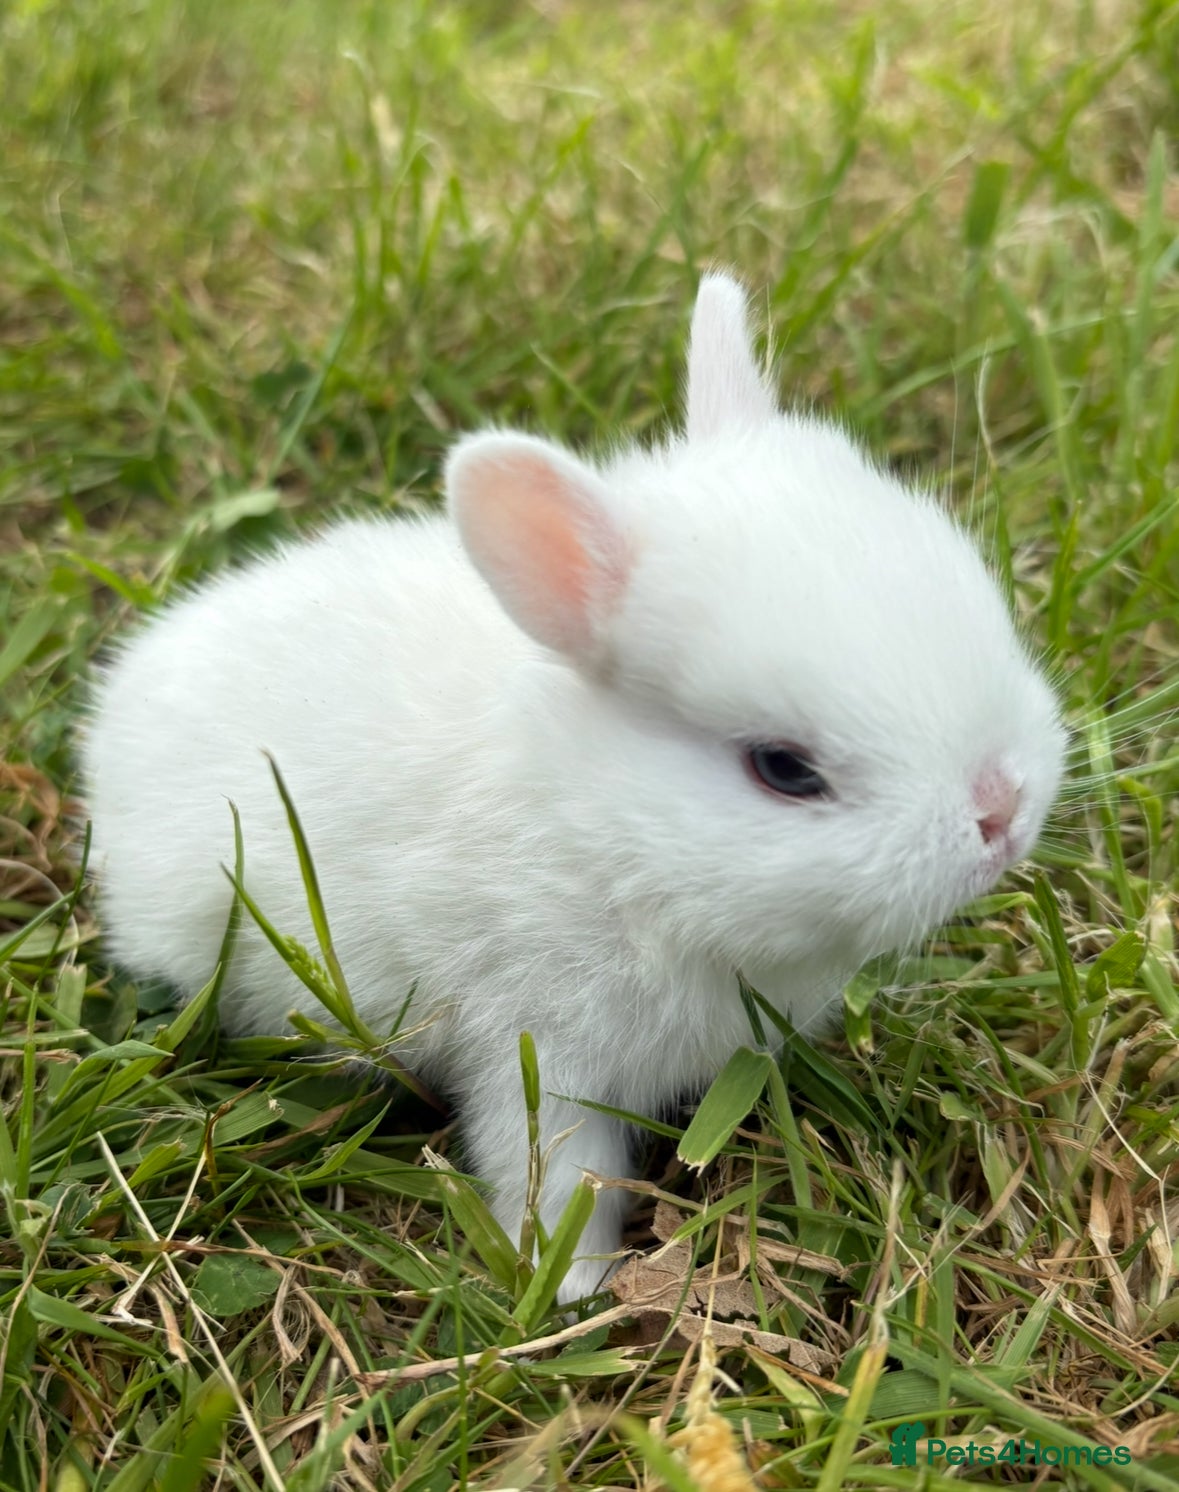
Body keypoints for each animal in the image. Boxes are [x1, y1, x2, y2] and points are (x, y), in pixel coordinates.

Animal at [81, 272, 1067, 1304]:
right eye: (783, 769)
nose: (1001, 813)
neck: (602, 833)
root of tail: (118, 707)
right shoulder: (535, 1051)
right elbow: (556, 1170)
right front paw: (574, 1291)